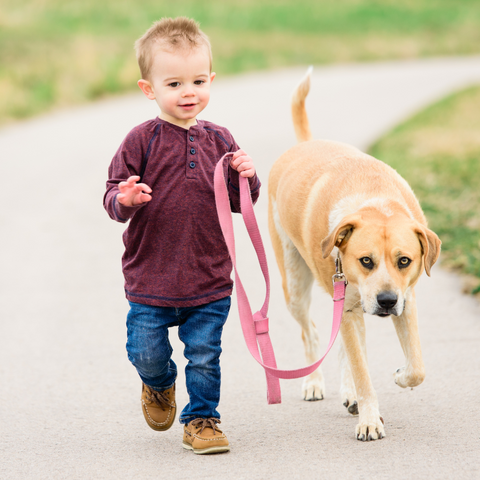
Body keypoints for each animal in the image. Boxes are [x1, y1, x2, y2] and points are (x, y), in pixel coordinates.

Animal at [268, 68, 440, 442]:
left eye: (404, 261)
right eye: (366, 261)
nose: (387, 301)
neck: (372, 200)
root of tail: (305, 144)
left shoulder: (407, 300)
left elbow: (418, 368)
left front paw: (399, 375)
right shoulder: (348, 306)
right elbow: (362, 372)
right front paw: (369, 420)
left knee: (343, 347)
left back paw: (349, 395)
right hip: (295, 287)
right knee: (312, 332)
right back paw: (315, 383)